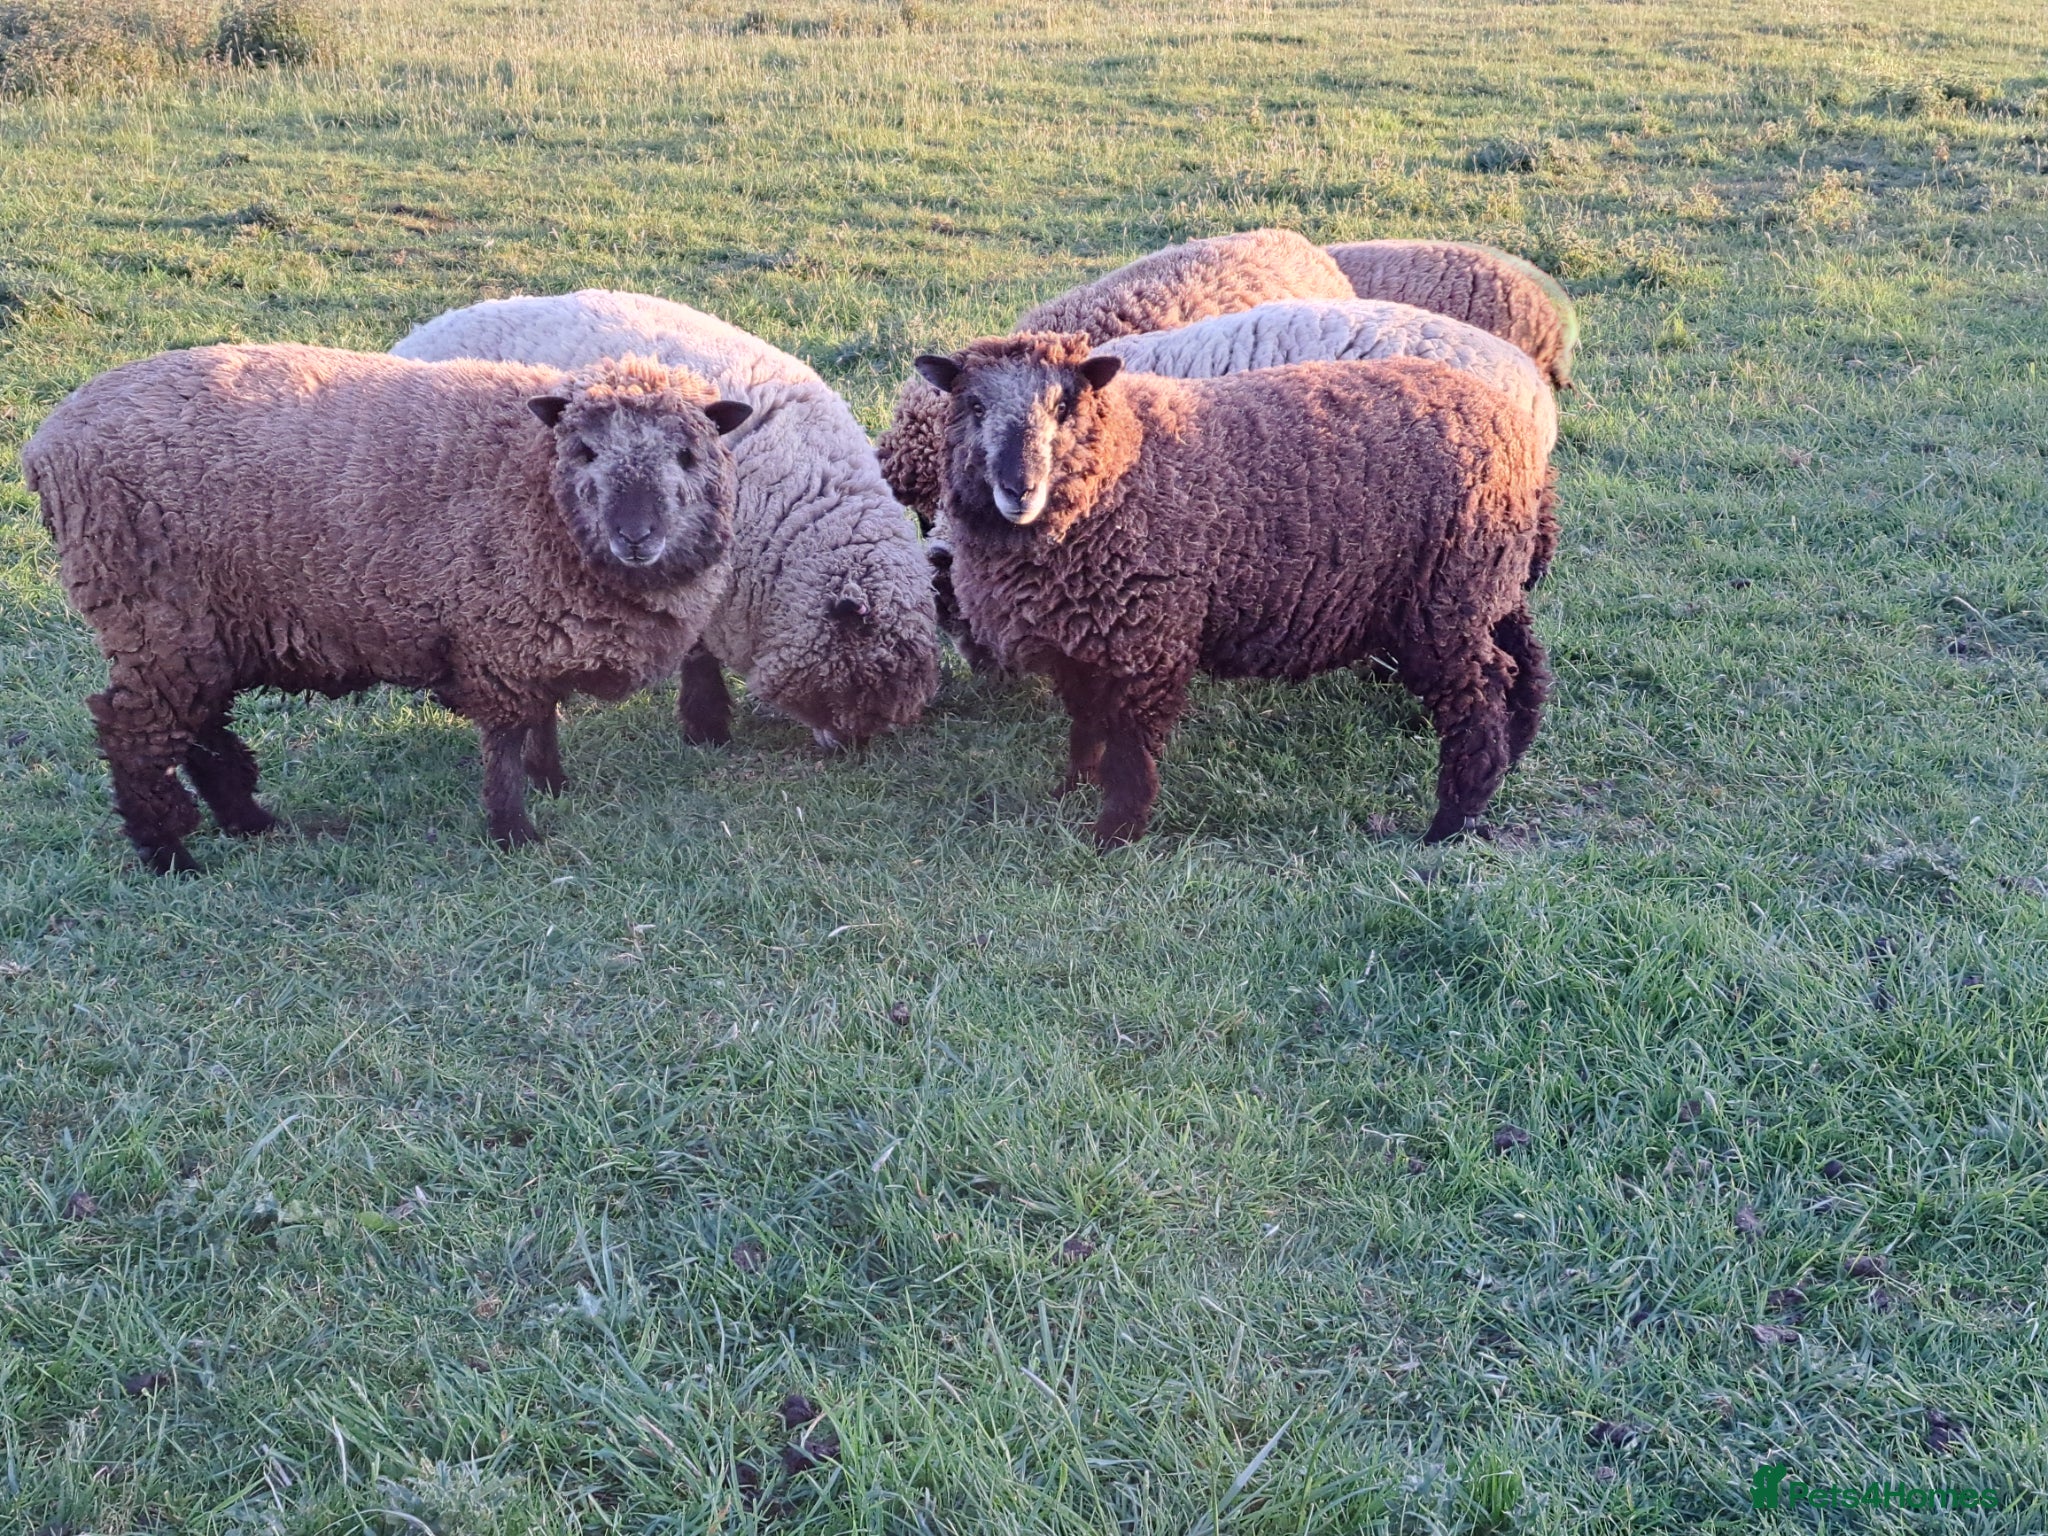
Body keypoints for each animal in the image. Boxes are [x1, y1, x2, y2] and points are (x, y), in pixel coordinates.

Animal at [22, 343, 750, 872]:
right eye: (586, 450)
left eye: (687, 454)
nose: (637, 535)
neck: (534, 485)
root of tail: (45, 444)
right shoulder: (498, 633)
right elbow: (506, 741)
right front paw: (513, 830)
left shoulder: (532, 633)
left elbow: (541, 717)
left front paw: (551, 782)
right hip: (151, 612)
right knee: (133, 733)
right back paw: (169, 854)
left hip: (201, 627)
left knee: (200, 728)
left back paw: (253, 824)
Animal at [913, 333, 1551, 848]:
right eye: (974, 406)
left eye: (1066, 407)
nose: (1019, 487)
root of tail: (1515, 426)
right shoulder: (1084, 638)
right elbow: (1086, 725)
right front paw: (1071, 789)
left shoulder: (1149, 638)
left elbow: (1129, 747)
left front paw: (1115, 833)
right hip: (1487, 583)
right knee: (1524, 660)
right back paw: (1514, 752)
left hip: (1446, 599)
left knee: (1479, 697)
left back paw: (1452, 819)